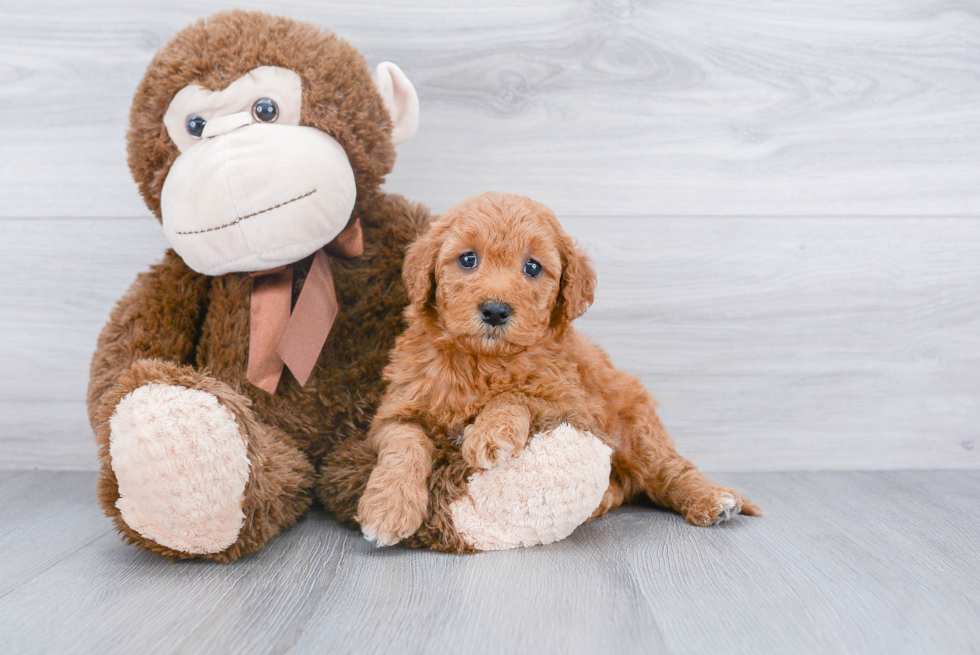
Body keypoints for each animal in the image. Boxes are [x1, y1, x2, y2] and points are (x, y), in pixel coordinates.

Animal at [356, 192, 760, 544]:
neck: (483, 360)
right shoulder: (395, 411)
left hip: (637, 429)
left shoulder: (571, 402)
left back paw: (713, 500)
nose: (495, 311)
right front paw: (387, 509)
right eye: (467, 259)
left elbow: (519, 394)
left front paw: (491, 432)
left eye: (533, 267)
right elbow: (404, 445)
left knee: (668, 470)